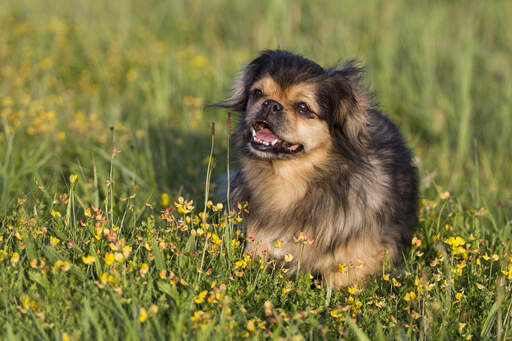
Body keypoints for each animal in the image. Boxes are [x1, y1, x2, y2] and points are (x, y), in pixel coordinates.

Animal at [212, 49, 416, 286]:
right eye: (257, 93)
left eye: (303, 107)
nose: (270, 104)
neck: (287, 182)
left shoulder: (362, 259)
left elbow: (337, 279)